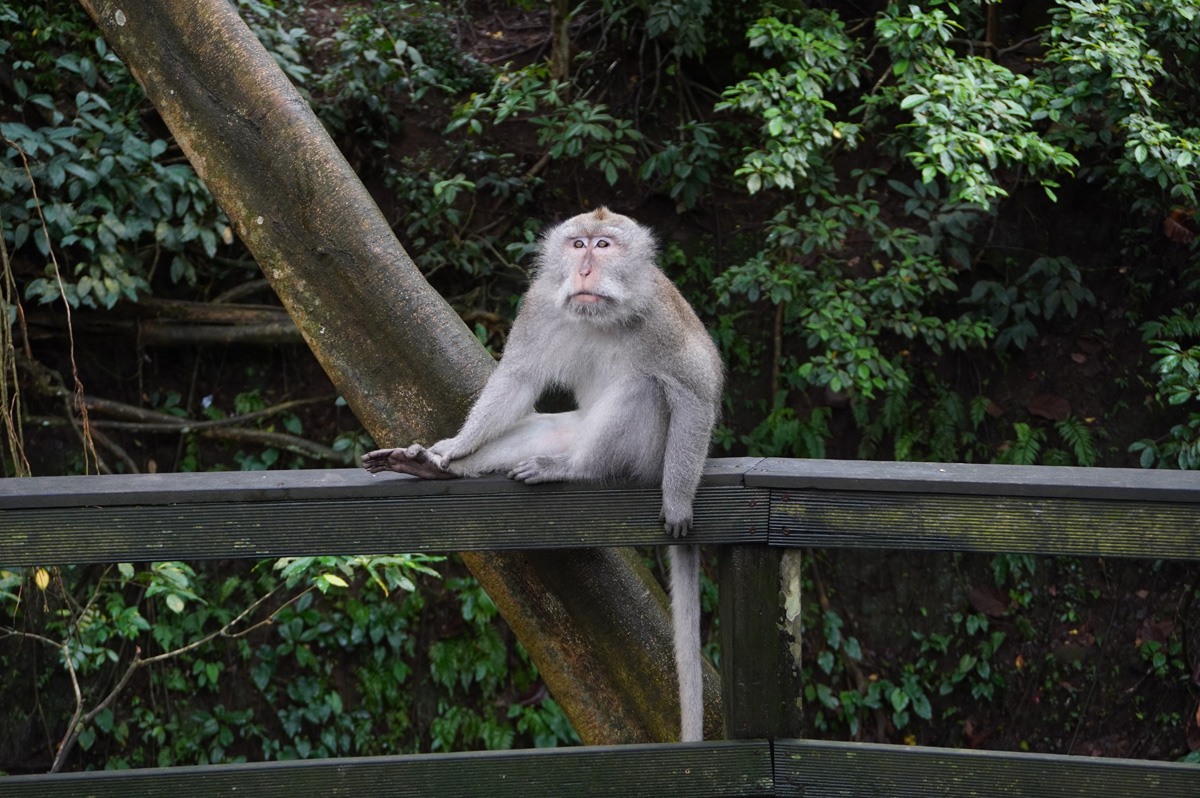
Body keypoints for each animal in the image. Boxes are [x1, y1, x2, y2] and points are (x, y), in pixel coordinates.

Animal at [362, 207, 722, 743]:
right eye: (577, 245)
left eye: (603, 245)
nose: (586, 269)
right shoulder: (539, 307)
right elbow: (516, 380)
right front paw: (455, 448)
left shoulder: (661, 315)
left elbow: (696, 389)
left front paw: (678, 501)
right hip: (573, 430)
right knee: (539, 429)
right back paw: (428, 466)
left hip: (652, 455)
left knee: (643, 390)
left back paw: (576, 469)